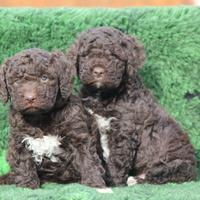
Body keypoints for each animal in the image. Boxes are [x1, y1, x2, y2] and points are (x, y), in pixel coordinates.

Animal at [0, 48, 106, 189]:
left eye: (44, 78)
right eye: (17, 81)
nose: (30, 98)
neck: (40, 118)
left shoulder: (77, 134)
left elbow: (87, 158)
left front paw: (95, 183)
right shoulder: (18, 138)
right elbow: (23, 162)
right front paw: (27, 185)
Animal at [66, 26, 197, 186]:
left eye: (114, 55)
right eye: (86, 55)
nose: (98, 71)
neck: (103, 95)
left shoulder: (125, 128)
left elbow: (118, 158)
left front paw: (113, 181)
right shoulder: (91, 122)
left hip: (178, 165)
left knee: (160, 173)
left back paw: (135, 179)